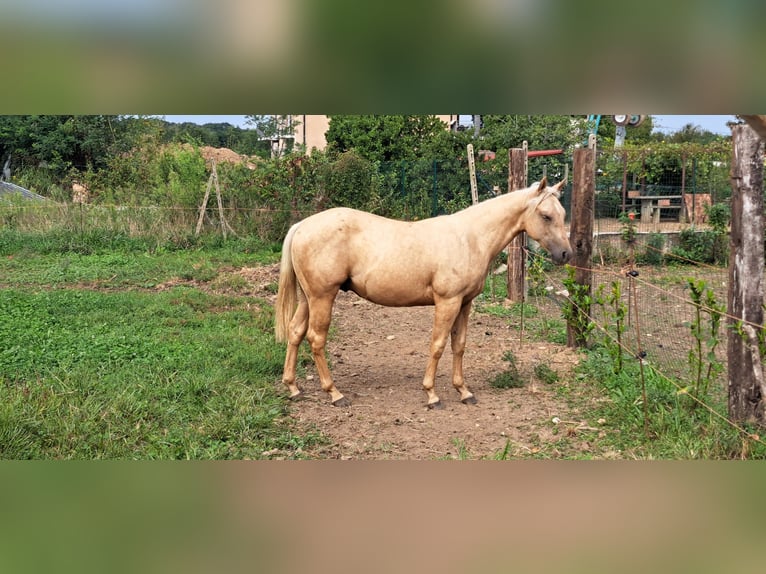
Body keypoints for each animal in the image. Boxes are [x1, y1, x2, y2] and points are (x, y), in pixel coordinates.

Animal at [274, 179, 568, 410]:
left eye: (562, 213)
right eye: (546, 216)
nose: (566, 254)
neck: (470, 238)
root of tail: (302, 226)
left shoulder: (465, 303)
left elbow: (459, 345)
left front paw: (464, 391)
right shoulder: (447, 302)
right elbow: (437, 346)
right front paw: (432, 395)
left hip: (308, 298)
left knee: (296, 332)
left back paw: (293, 387)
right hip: (323, 297)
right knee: (316, 338)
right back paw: (335, 393)